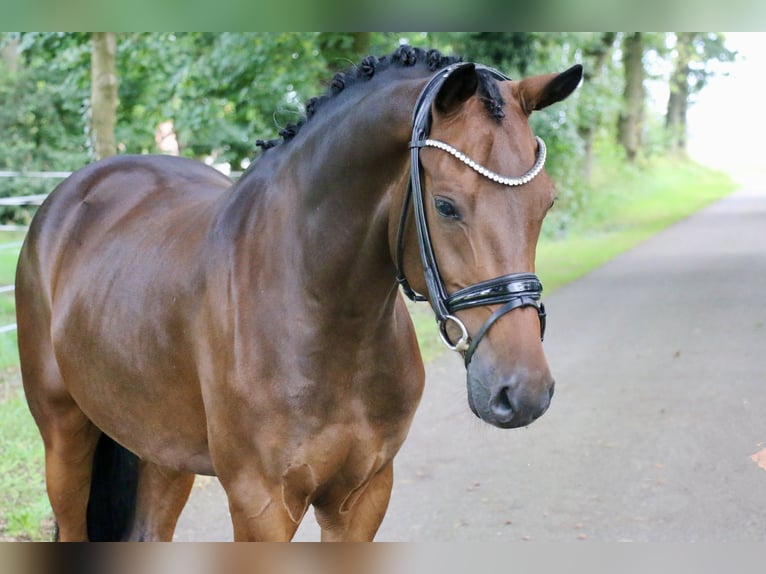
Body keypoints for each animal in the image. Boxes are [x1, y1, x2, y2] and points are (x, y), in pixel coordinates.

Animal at [16, 46, 584, 544]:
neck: (320, 314)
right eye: (445, 205)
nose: (523, 391)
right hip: (64, 436)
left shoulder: (363, 496)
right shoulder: (262, 504)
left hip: (161, 449)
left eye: (546, 202)